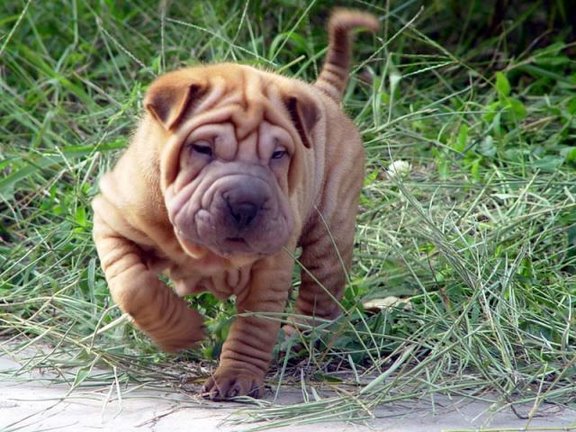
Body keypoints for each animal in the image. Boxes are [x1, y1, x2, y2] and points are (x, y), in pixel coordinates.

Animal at [91, 9, 378, 402]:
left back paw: (296, 341)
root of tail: (322, 95)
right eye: (202, 148)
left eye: (279, 154)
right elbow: (133, 285)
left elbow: (254, 327)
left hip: (330, 228)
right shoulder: (112, 220)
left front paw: (236, 377)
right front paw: (184, 332)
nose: (245, 202)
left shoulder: (269, 270)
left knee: (319, 293)